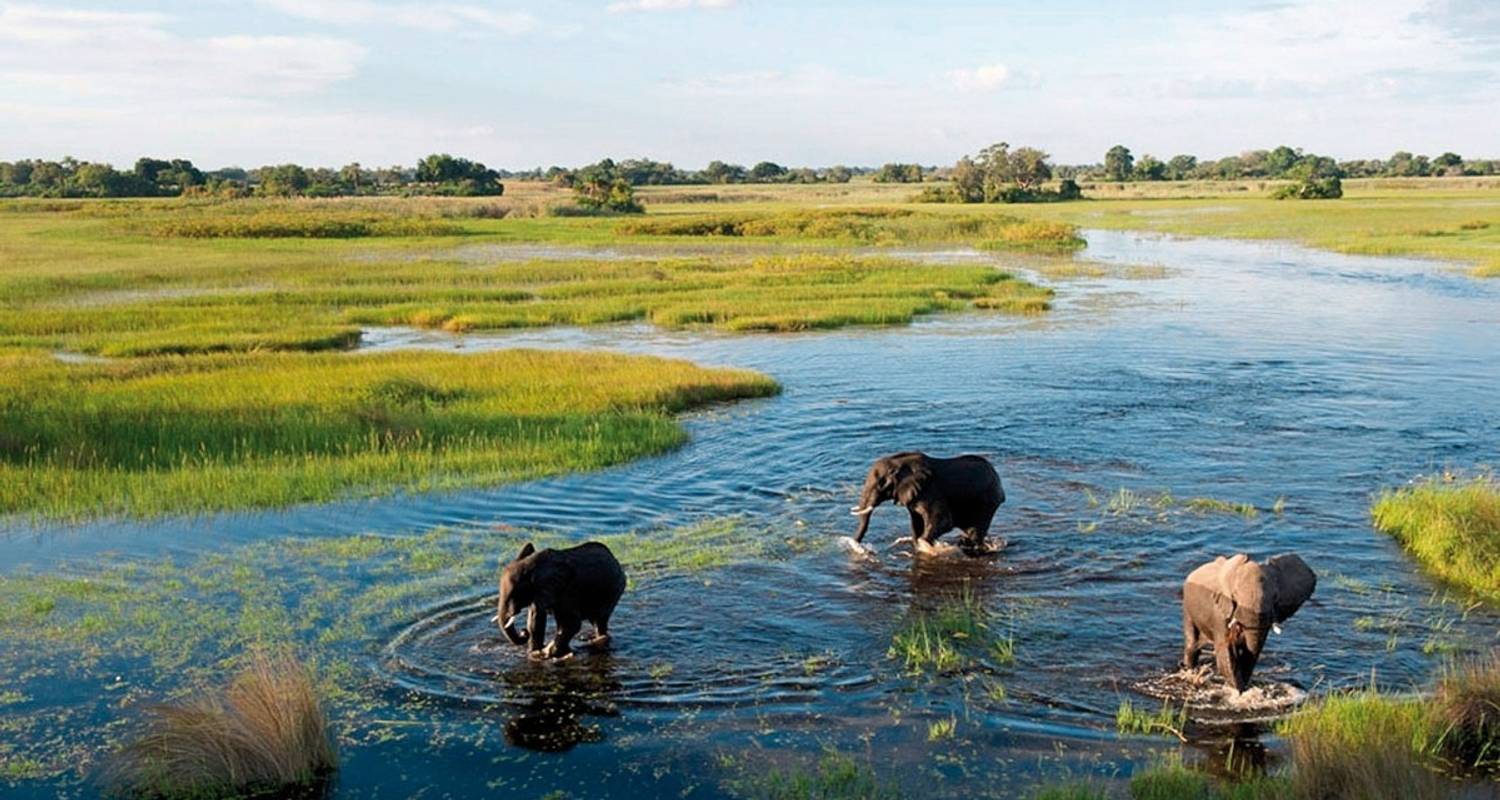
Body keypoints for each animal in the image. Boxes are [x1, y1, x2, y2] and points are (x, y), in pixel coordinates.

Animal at [498, 543, 627, 660]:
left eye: (516, 592)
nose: (523, 632)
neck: (533, 565)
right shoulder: (539, 592)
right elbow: (535, 620)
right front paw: (534, 653)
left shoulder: (568, 591)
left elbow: (572, 623)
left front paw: (548, 653)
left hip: (614, 590)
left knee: (599, 620)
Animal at [852, 450, 1002, 555]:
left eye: (881, 484)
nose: (867, 551)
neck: (898, 463)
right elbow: (917, 523)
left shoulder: (930, 490)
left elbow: (943, 521)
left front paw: (926, 547)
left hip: (987, 501)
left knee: (976, 530)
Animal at [1182, 552, 1314, 690]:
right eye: (1235, 595)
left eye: (1275, 597)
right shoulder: (1220, 614)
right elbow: (1226, 652)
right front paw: (1239, 691)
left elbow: (1251, 651)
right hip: (1187, 606)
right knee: (1192, 643)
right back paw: (1190, 670)